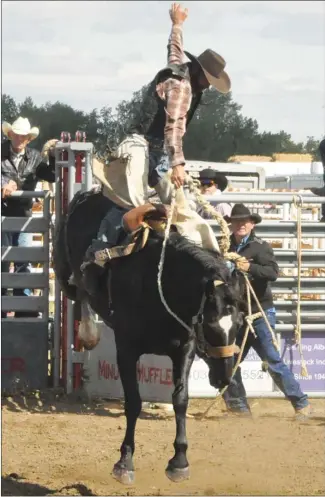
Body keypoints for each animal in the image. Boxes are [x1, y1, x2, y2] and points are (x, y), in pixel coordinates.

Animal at [52, 188, 240, 482]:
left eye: (238, 324)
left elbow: (180, 400)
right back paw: (89, 332)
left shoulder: (184, 348)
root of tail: (87, 193)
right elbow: (134, 402)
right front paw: (124, 462)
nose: (224, 377)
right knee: (79, 290)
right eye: (209, 324)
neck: (159, 284)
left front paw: (179, 461)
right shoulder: (126, 349)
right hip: (63, 271)